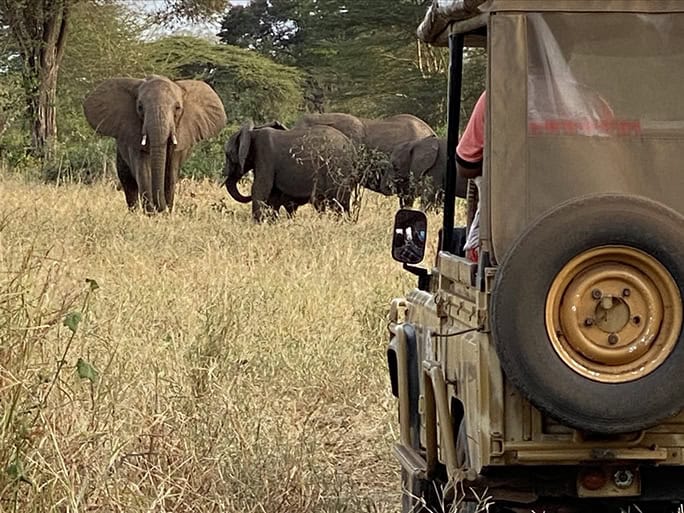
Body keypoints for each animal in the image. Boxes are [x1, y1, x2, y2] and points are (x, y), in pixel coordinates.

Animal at [84, 75, 226, 213]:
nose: (160, 209)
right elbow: (143, 170)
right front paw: (151, 213)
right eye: (140, 107)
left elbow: (171, 173)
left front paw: (165, 213)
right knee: (128, 181)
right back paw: (134, 212)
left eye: (177, 108)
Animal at [223, 120, 357, 222]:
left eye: (228, 155)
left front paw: (258, 223)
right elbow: (272, 193)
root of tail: (351, 147)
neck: (252, 133)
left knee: (337, 201)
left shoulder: (265, 156)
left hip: (338, 169)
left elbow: (260, 187)